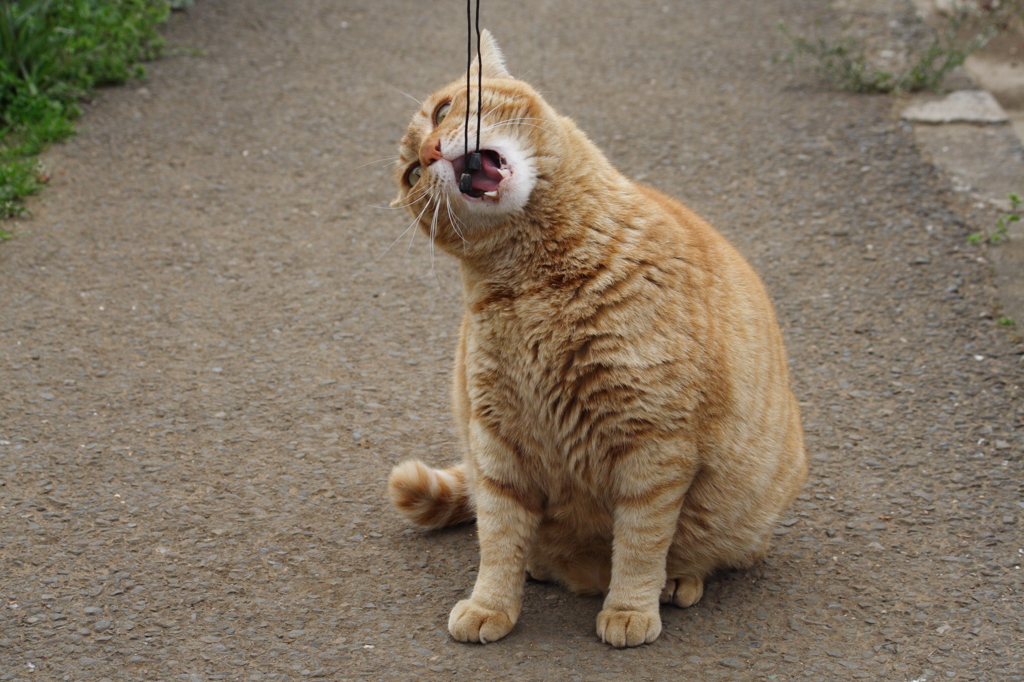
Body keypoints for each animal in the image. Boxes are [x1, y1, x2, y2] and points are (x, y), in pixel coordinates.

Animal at [385, 31, 806, 647]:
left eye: (441, 113)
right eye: (413, 176)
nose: (435, 152)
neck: (538, 278)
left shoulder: (654, 445)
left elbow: (640, 541)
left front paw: (630, 608)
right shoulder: (498, 441)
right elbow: (498, 537)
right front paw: (491, 604)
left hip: (747, 511)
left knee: (705, 553)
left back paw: (678, 580)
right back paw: (544, 566)